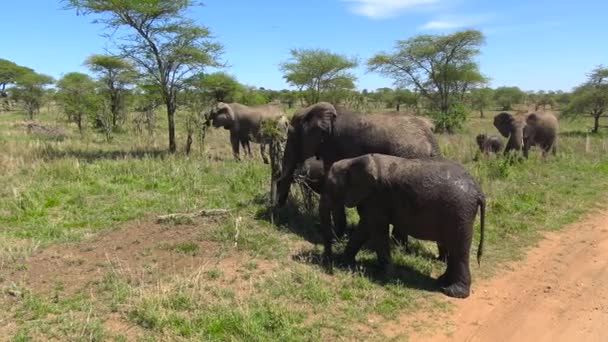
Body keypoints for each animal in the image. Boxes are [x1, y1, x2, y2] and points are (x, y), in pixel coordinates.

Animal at [276, 102, 442, 264]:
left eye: (291, 134)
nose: (278, 213)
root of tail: (431, 139)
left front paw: (338, 237)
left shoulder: (334, 147)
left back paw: (398, 246)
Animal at [326, 154, 486, 298]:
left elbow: (377, 230)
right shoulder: (371, 200)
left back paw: (452, 292)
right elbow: (364, 228)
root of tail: (479, 191)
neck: (353, 161)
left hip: (460, 212)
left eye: (331, 187)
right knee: (453, 249)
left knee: (458, 250)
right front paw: (345, 263)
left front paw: (386, 275)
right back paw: (442, 282)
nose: (329, 265)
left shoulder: (377, 197)